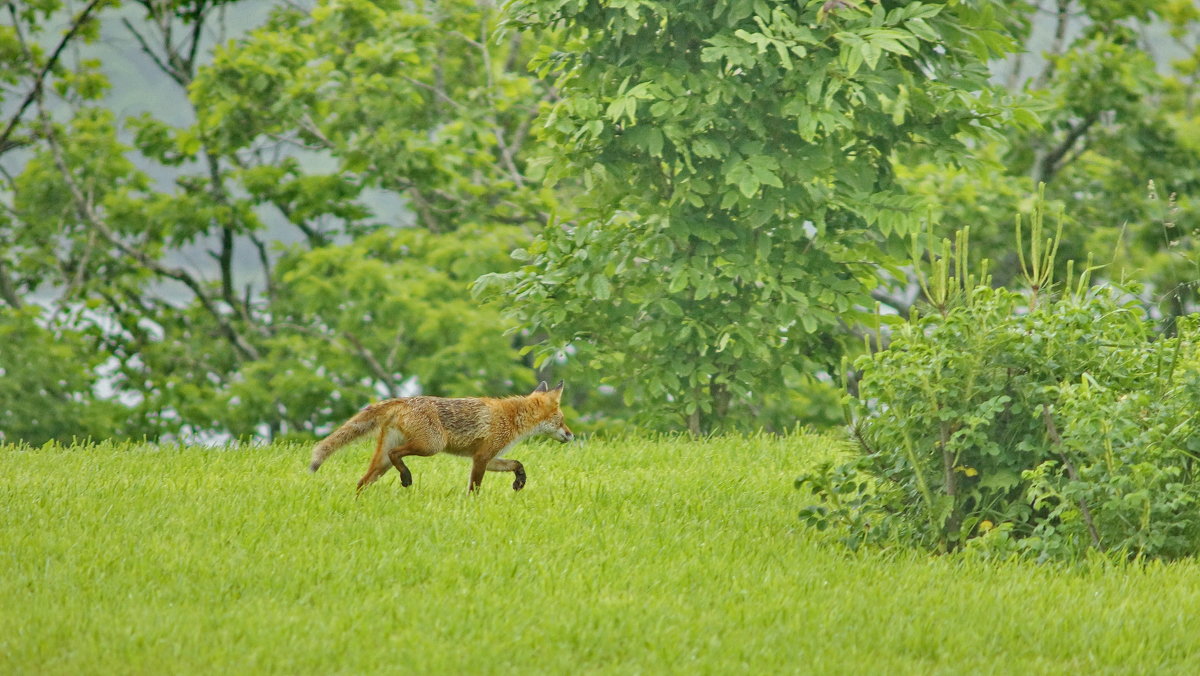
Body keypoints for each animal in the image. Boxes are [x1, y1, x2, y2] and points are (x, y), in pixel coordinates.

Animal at [307, 384, 573, 494]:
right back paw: (406, 477)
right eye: (561, 420)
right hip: (431, 445)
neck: (512, 417)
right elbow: (475, 487)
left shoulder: (490, 457)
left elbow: (518, 464)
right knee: (396, 455)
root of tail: (402, 400)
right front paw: (472, 506)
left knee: (362, 481)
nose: (571, 434)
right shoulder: (481, 458)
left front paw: (520, 482)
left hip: (382, 462)